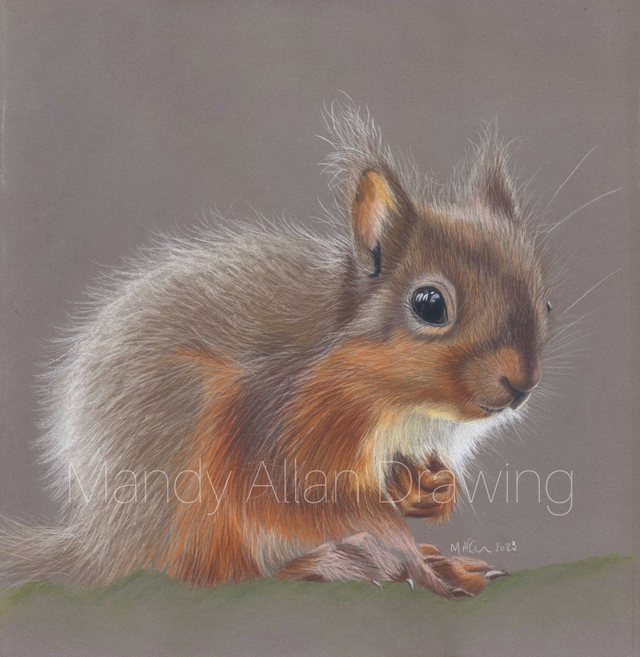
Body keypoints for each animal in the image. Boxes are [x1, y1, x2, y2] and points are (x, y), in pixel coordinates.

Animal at [0, 102, 551, 598]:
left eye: (545, 301)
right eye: (430, 304)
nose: (521, 385)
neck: (401, 405)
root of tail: (101, 545)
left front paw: (434, 492)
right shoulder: (279, 432)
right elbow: (325, 506)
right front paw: (424, 566)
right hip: (185, 460)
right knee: (210, 571)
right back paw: (338, 563)